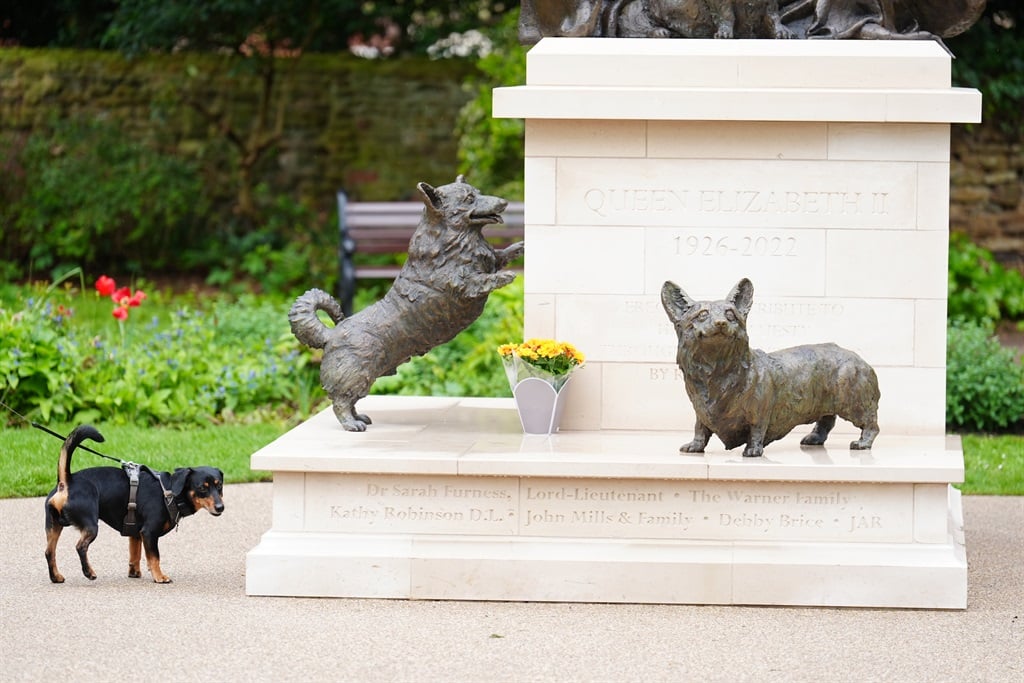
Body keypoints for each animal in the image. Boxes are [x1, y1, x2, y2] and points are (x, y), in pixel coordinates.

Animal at [44, 428, 224, 581]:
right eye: (202, 488)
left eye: (220, 485)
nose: (220, 507)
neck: (170, 491)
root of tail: (66, 482)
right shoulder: (149, 533)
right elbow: (154, 557)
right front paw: (159, 576)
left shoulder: (136, 534)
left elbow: (135, 555)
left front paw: (134, 572)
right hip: (90, 526)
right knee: (80, 547)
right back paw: (89, 572)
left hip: (53, 526)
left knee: (49, 552)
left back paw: (56, 577)